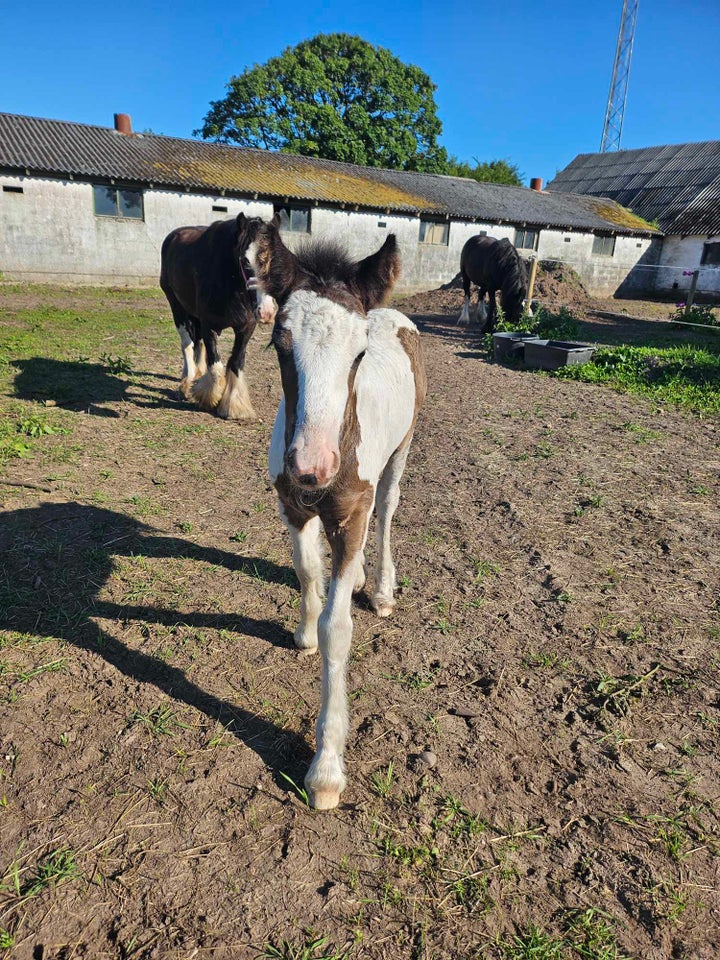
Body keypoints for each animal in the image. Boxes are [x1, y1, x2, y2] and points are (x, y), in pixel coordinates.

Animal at [160, 214, 276, 416]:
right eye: (245, 261)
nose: (267, 312)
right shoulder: (209, 325)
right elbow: (214, 362)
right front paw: (209, 397)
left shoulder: (246, 327)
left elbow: (235, 361)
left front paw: (235, 405)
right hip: (177, 306)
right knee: (187, 344)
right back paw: (186, 382)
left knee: (197, 344)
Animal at [249, 219, 428, 808]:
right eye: (279, 344)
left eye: (359, 353)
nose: (312, 466)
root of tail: (394, 313)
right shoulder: (293, 507)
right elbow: (309, 574)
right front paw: (304, 632)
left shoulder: (349, 518)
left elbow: (339, 628)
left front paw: (326, 766)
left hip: (403, 448)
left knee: (389, 509)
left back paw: (381, 589)